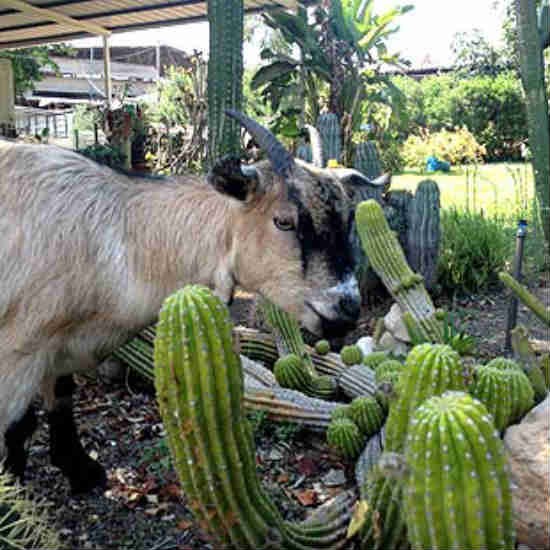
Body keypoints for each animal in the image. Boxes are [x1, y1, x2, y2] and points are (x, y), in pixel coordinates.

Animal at [1, 112, 370, 496]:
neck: (110, 237)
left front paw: (76, 471)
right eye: (284, 221)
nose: (346, 307)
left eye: (348, 221)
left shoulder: (56, 348)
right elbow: (21, 420)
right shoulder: (19, 353)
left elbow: (56, 402)